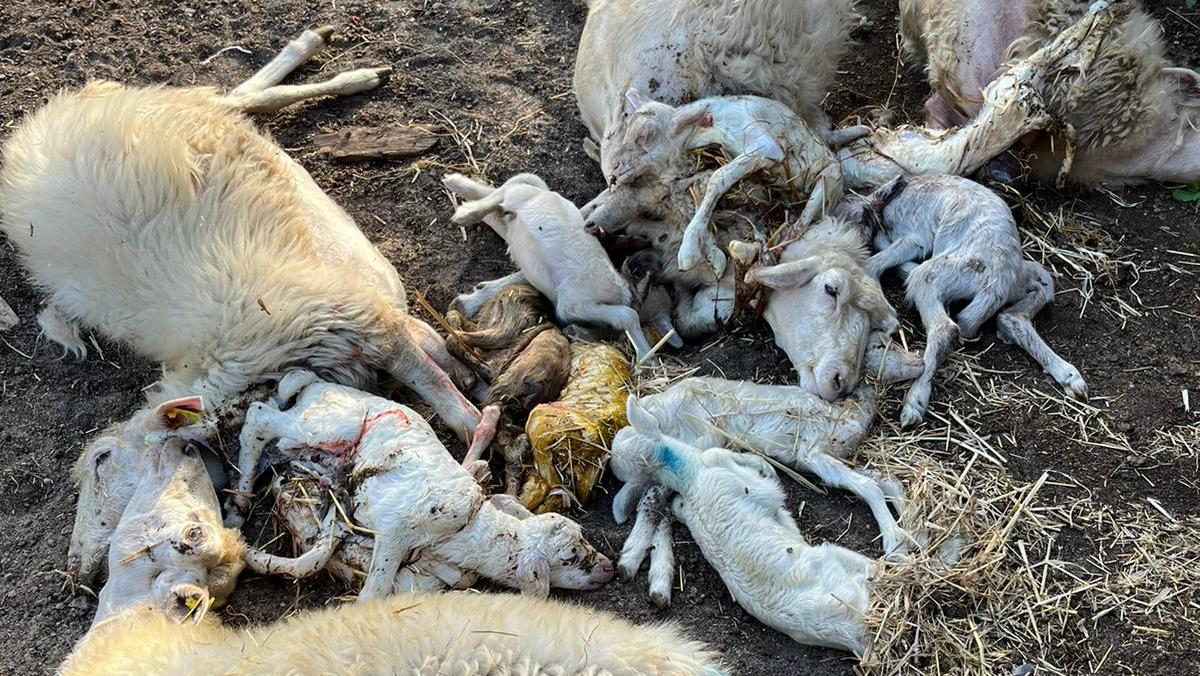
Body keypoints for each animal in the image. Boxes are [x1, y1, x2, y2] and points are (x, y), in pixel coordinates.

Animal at [0, 27, 484, 585]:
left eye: (101, 459)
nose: (78, 568)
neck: (222, 368)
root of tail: (36, 126)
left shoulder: (360, 322)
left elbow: (449, 399)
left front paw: (482, 418)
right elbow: (437, 367)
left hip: (171, 111)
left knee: (235, 98)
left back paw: (336, 61)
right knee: (234, 100)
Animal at [232, 370, 615, 599]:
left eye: (583, 536)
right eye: (569, 558)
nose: (609, 568)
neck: (465, 529)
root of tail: (315, 384)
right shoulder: (394, 532)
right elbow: (371, 592)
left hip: (309, 445)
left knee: (273, 435)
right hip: (324, 427)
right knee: (259, 417)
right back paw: (239, 504)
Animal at [442, 173, 655, 361]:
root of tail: (544, 193)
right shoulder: (572, 304)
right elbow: (628, 315)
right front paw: (646, 359)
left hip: (515, 224)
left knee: (505, 198)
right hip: (520, 194)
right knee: (511, 185)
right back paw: (464, 208)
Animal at [616, 397, 874, 653]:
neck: (689, 477)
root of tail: (854, 632)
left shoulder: (690, 499)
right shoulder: (744, 480)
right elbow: (756, 476)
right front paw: (766, 469)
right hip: (834, 556)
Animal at [842, 174, 1087, 427]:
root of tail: (998, 284)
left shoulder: (915, 233)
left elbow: (876, 259)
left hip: (942, 273)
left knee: (944, 325)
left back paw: (914, 403)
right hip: (1017, 279)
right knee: (1037, 291)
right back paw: (1068, 375)